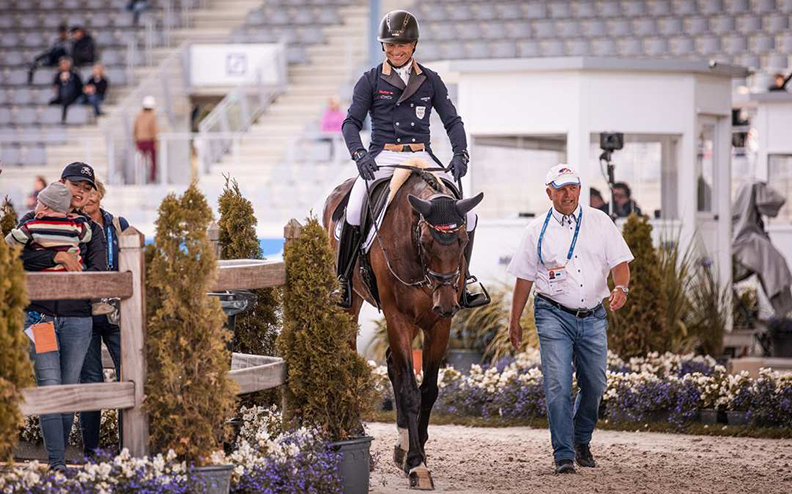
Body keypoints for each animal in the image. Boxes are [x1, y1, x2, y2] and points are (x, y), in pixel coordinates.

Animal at [323, 161, 483, 490]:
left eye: (463, 241)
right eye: (425, 242)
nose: (446, 304)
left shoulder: (438, 325)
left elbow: (429, 389)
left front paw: (413, 451)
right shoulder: (398, 316)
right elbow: (410, 388)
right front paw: (417, 464)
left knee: (392, 364)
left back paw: (402, 444)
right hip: (352, 304)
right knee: (352, 357)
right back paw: (357, 430)